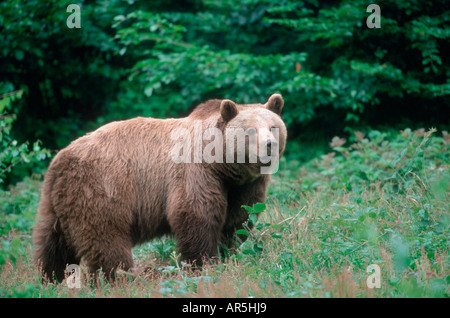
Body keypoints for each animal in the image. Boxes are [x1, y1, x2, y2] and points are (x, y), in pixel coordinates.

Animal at [31, 93, 286, 282]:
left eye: (273, 126)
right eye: (250, 130)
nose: (269, 145)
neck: (221, 164)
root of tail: (61, 158)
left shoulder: (242, 186)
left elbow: (238, 219)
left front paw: (227, 254)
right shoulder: (195, 172)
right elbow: (197, 215)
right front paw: (204, 263)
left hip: (59, 200)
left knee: (52, 243)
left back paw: (49, 279)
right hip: (101, 189)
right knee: (106, 240)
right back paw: (120, 279)